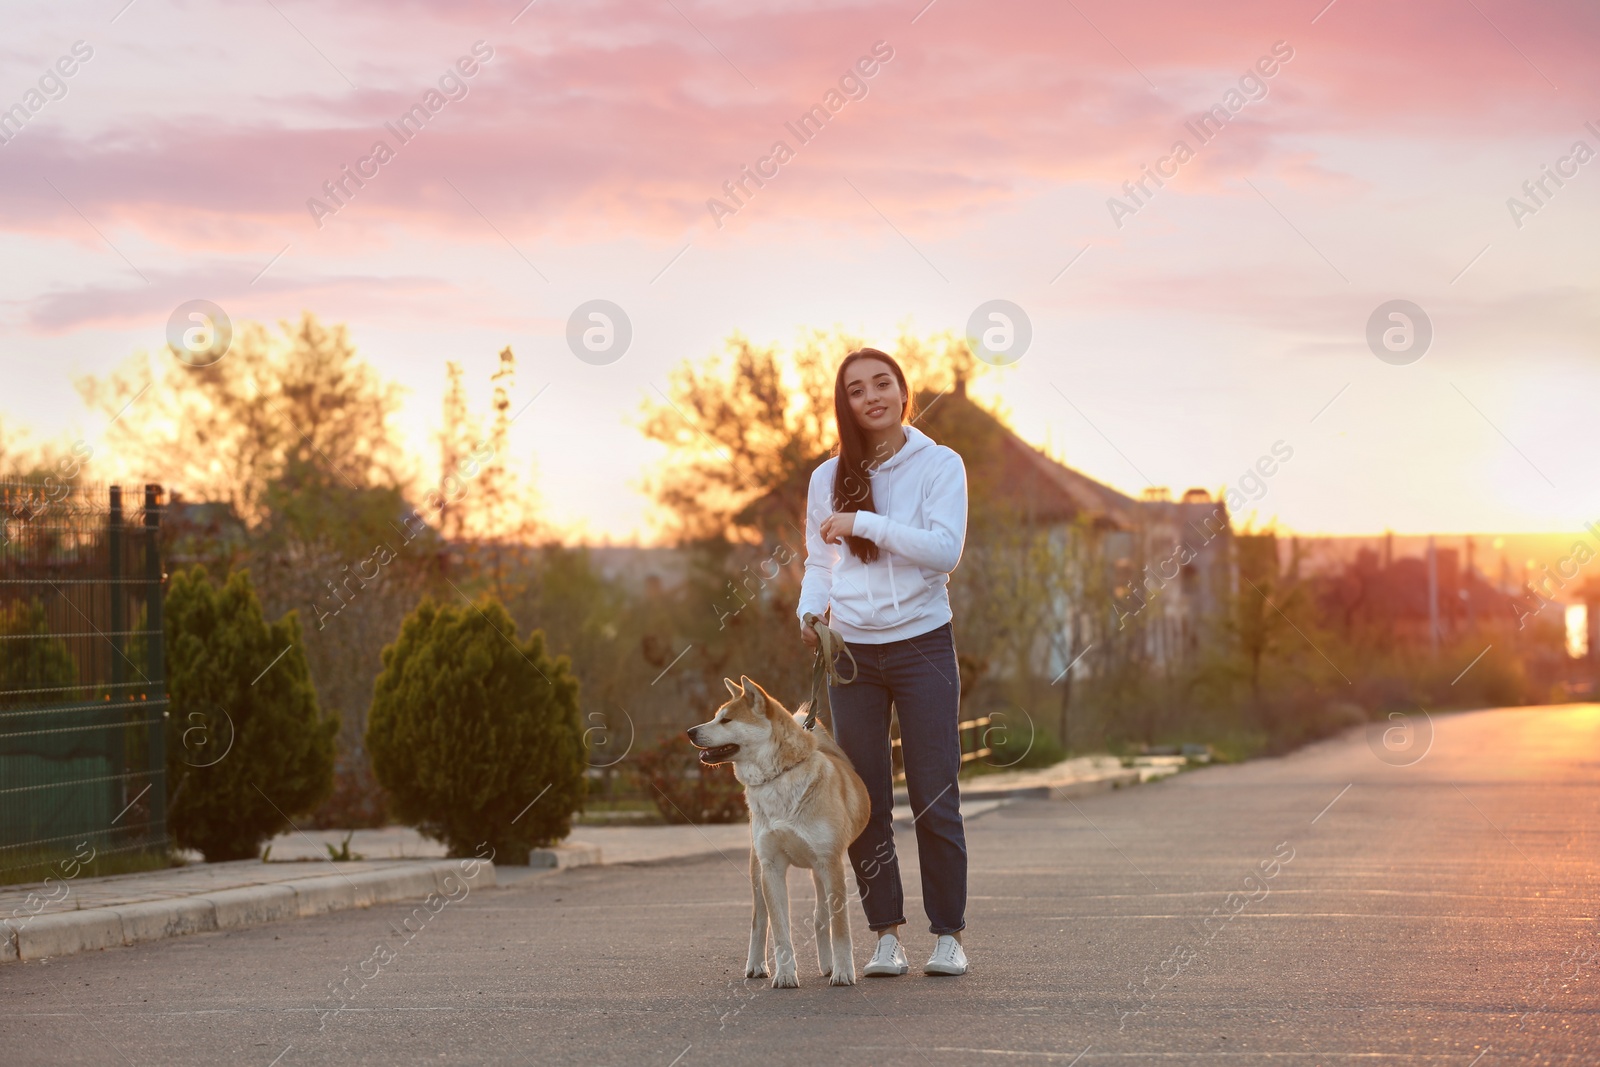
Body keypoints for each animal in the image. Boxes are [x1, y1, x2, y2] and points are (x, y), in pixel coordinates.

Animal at [684, 681, 870, 991]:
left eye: (726, 720)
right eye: (715, 716)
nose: (690, 731)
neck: (779, 778)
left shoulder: (830, 862)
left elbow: (840, 927)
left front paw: (843, 972)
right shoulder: (771, 867)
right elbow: (780, 930)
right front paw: (785, 975)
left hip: (819, 869)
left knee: (821, 919)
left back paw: (828, 965)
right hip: (757, 870)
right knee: (759, 921)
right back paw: (757, 965)